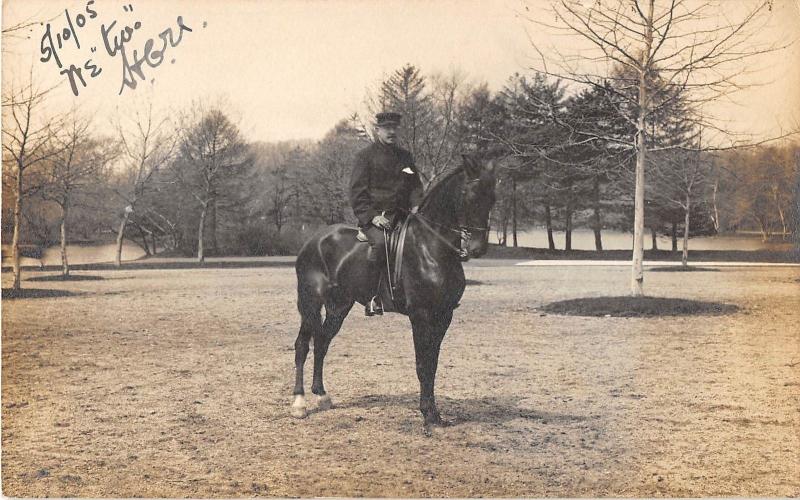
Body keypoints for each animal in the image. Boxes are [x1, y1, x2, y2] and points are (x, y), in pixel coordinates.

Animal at [290, 154, 496, 428]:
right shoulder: (420, 315)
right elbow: (422, 364)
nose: (478, 248)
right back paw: (299, 403)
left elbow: (433, 363)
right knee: (303, 344)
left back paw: (322, 395)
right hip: (311, 301)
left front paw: (435, 414)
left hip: (339, 305)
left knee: (322, 340)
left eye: (492, 197)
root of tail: (314, 240)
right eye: (469, 195)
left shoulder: (444, 316)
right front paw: (428, 414)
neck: (432, 246)